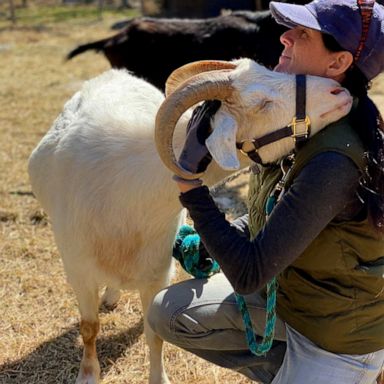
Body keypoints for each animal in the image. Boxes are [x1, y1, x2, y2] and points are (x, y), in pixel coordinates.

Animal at [26, 57, 352, 384]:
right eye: (263, 103)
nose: (340, 91)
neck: (122, 191)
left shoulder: (157, 271)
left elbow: (154, 333)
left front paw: (159, 378)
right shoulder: (78, 270)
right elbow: (89, 328)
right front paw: (88, 374)